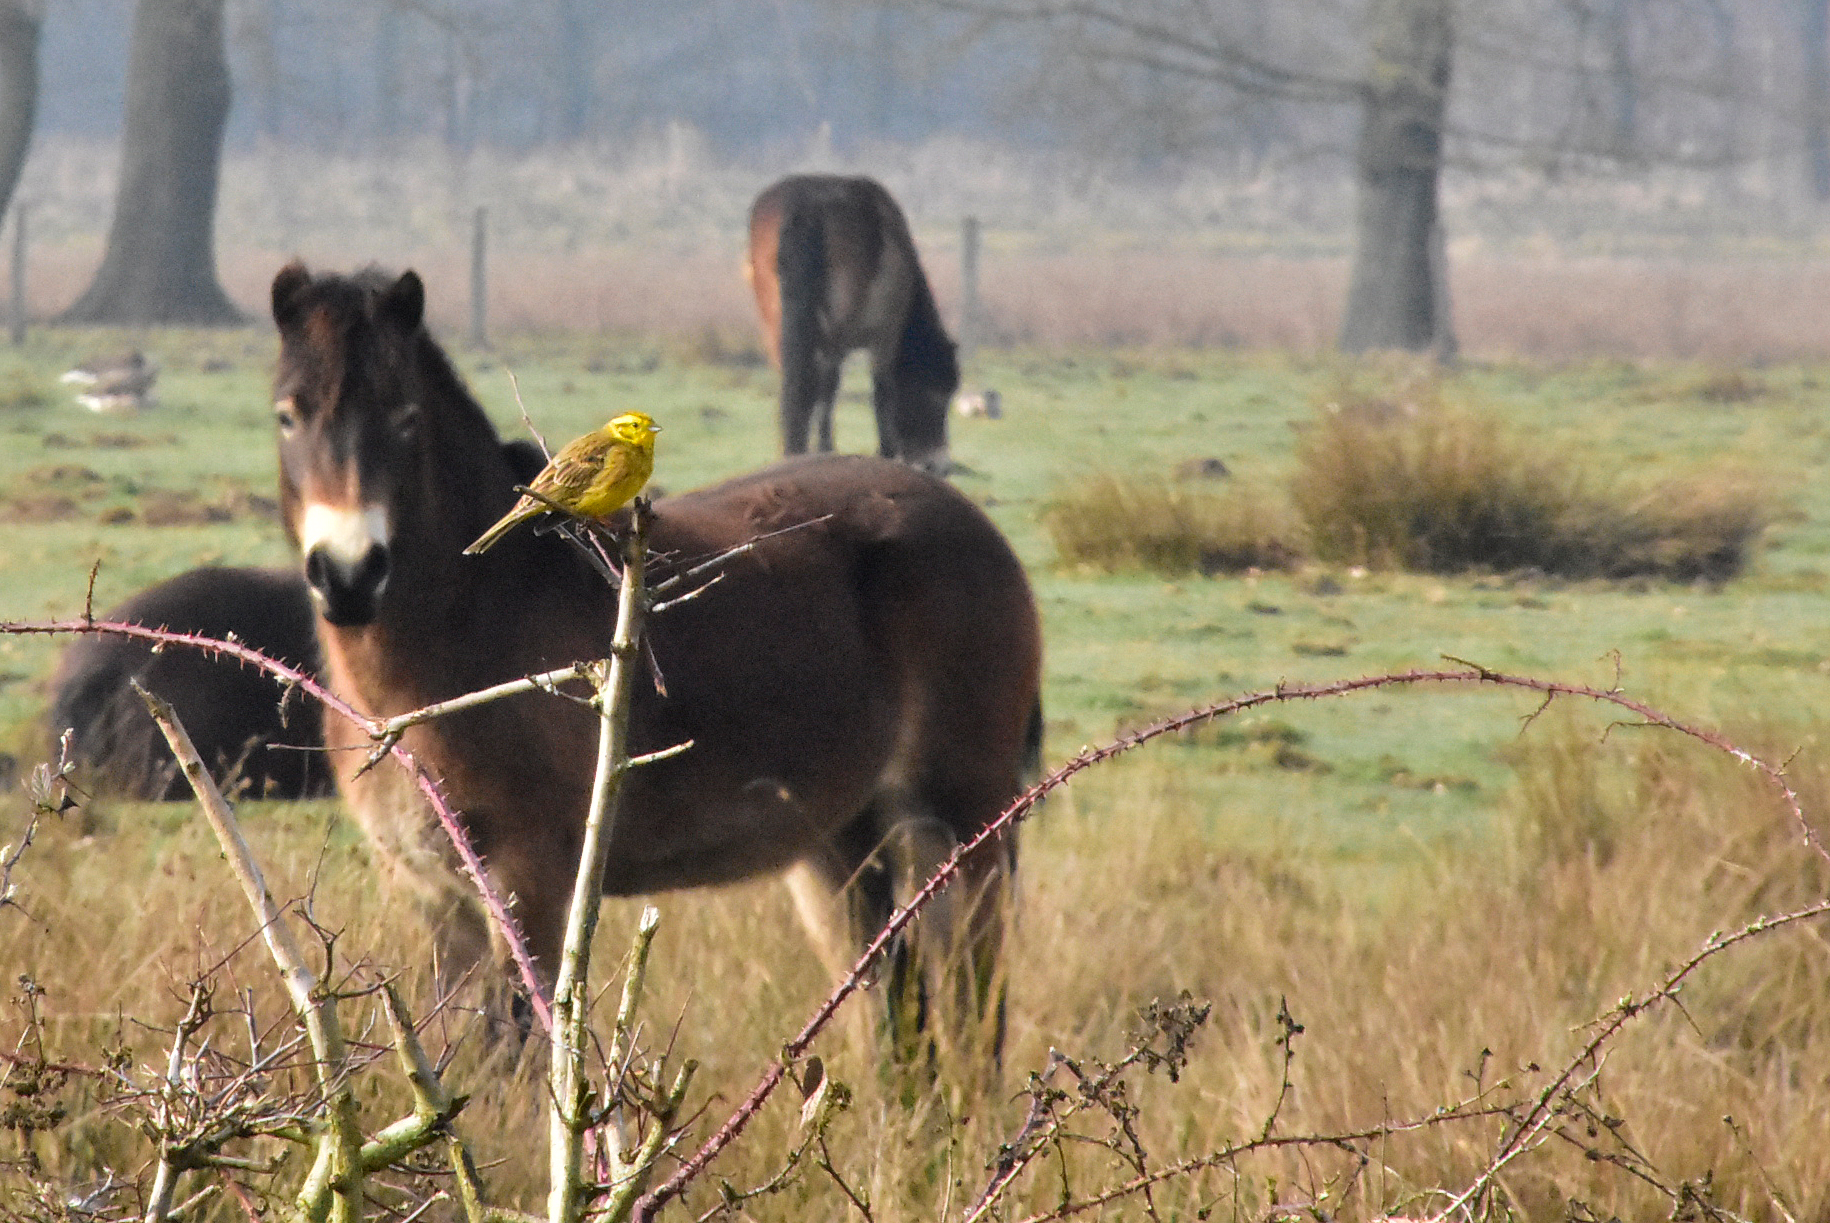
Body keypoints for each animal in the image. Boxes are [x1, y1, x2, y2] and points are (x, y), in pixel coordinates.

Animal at [269, 263, 1041, 1059]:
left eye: (405, 416)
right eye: (287, 415)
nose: (348, 574)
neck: (467, 626)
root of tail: (979, 528)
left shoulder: (530, 884)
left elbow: (520, 1054)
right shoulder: (429, 894)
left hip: (955, 829)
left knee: (976, 1009)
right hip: (841, 848)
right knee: (899, 1021)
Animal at [746, 174, 959, 473]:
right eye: (939, 392)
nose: (939, 466)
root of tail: (805, 210)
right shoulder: (885, 337)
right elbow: (880, 392)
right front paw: (885, 452)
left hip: (778, 328)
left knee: (795, 384)